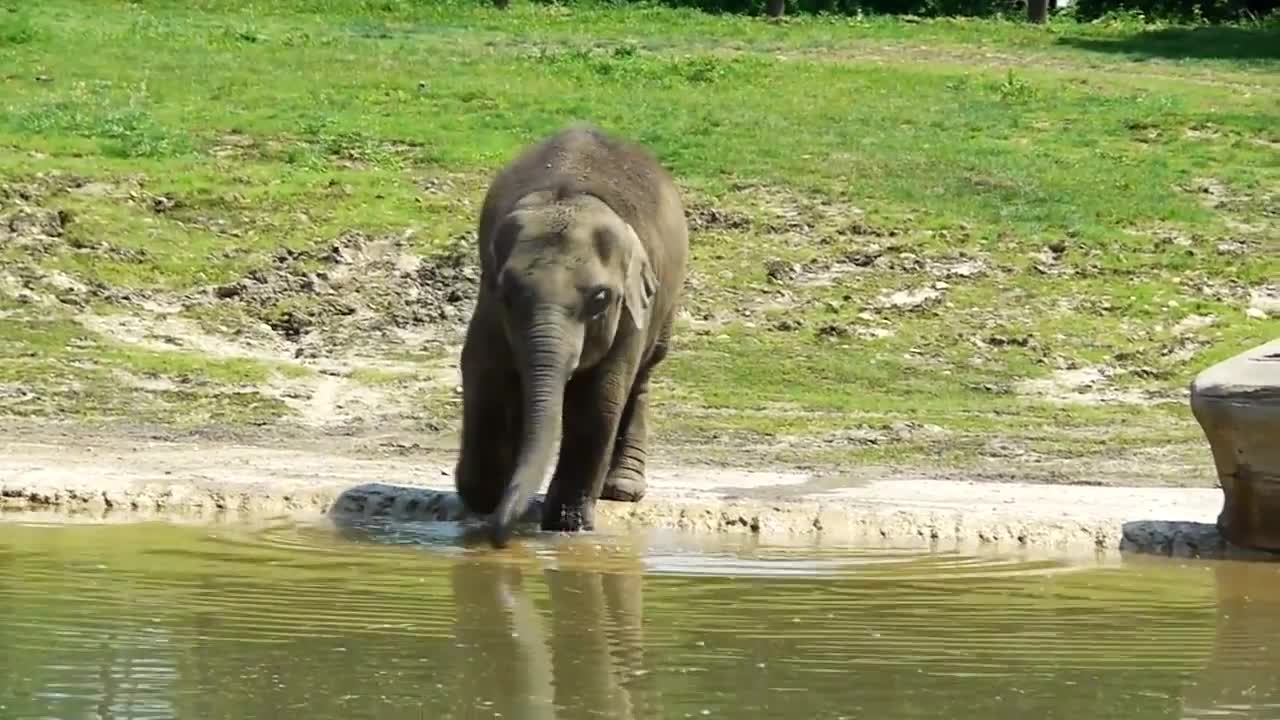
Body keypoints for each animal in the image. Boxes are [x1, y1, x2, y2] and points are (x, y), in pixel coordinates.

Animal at [453, 122, 691, 543]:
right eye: (507, 292)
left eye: (600, 298)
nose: (498, 538)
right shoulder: (488, 305)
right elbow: (484, 372)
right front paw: (486, 497)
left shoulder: (629, 310)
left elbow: (600, 398)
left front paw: (567, 525)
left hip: (665, 303)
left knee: (643, 376)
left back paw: (622, 489)